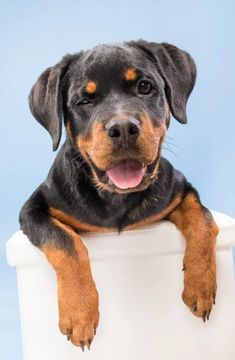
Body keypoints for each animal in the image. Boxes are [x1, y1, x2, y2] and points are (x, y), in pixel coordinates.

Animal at [20, 40, 218, 350]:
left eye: (145, 86)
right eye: (84, 101)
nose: (123, 128)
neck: (116, 198)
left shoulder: (179, 188)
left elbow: (204, 219)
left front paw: (201, 285)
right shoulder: (34, 208)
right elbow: (66, 242)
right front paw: (79, 313)